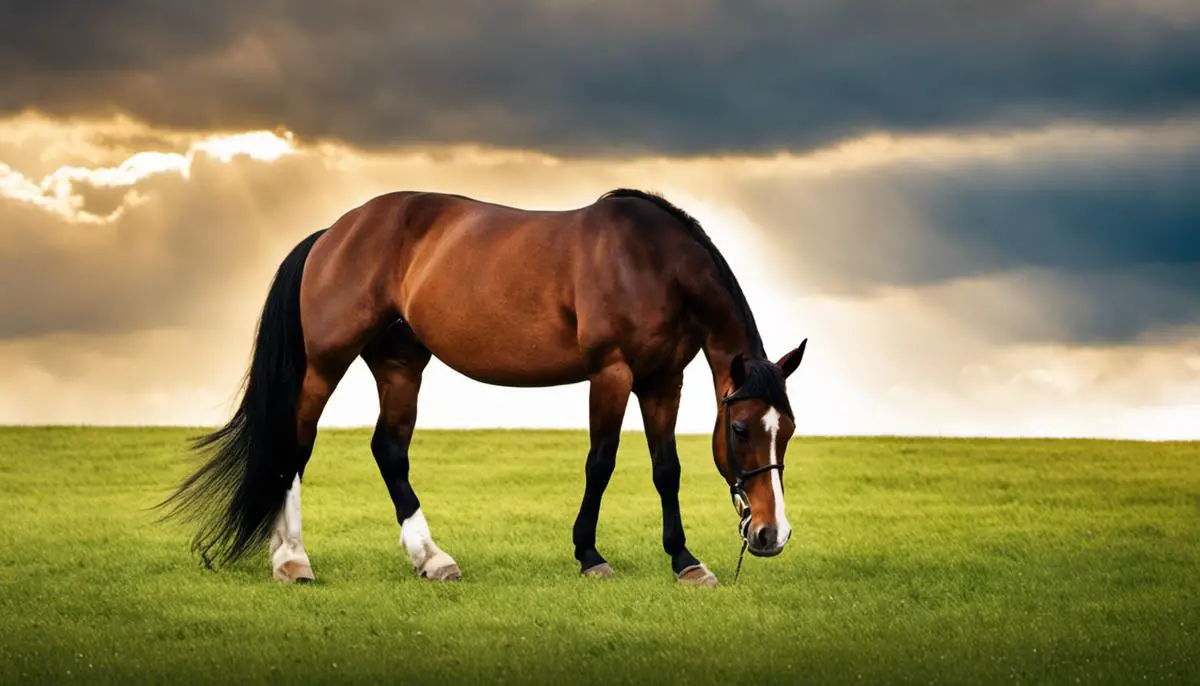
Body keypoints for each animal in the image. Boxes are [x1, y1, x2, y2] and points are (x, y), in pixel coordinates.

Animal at [162, 189, 806, 590]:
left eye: (790, 431)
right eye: (741, 428)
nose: (770, 535)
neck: (648, 262)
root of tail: (333, 232)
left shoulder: (661, 380)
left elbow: (665, 469)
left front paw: (685, 561)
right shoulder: (613, 373)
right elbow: (600, 463)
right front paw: (590, 555)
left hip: (400, 366)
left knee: (388, 451)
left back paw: (432, 559)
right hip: (324, 364)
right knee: (294, 449)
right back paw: (293, 559)